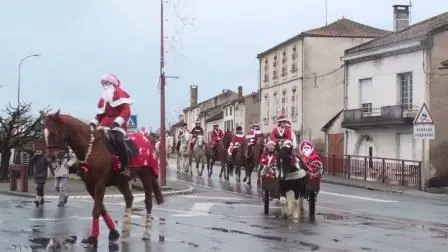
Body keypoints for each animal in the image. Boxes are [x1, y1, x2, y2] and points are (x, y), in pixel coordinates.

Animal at [42, 110, 163, 248]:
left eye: (54, 132)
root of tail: (146, 140)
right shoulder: (90, 185)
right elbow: (101, 208)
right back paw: (125, 230)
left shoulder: (100, 183)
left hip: (146, 177)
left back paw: (146, 233)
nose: (51, 157)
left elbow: (96, 210)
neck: (91, 148)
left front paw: (93, 238)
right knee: (129, 198)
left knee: (148, 202)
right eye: (44, 134)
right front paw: (114, 232)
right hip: (121, 181)